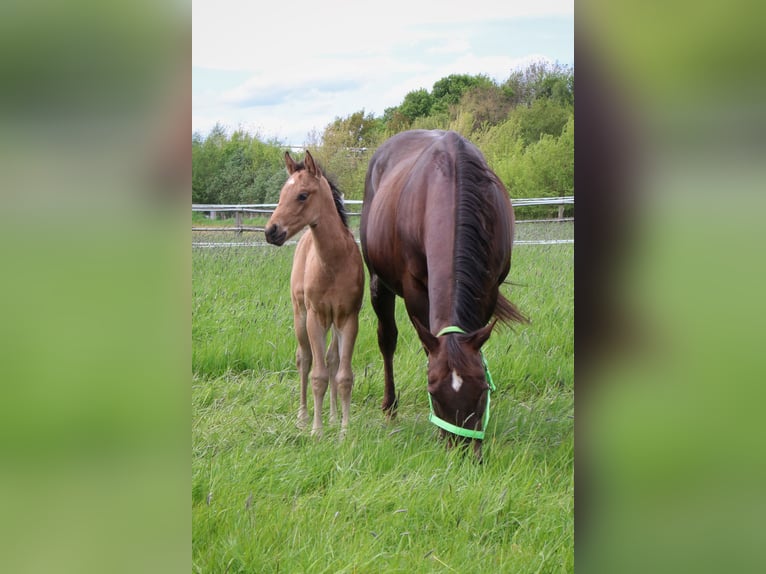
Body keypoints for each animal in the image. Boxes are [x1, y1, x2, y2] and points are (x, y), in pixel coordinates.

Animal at [266, 151, 364, 438]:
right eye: (281, 193)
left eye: (302, 195)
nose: (271, 231)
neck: (333, 263)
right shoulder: (315, 316)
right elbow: (317, 375)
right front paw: (316, 431)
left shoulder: (348, 318)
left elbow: (343, 375)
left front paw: (343, 431)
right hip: (300, 315)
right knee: (305, 359)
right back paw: (302, 417)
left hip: (331, 321)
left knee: (331, 360)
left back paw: (332, 417)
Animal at [360, 129, 528, 460]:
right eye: (433, 392)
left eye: (483, 390)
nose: (462, 451)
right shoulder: (414, 289)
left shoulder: (489, 287)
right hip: (378, 283)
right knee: (387, 339)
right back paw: (390, 408)